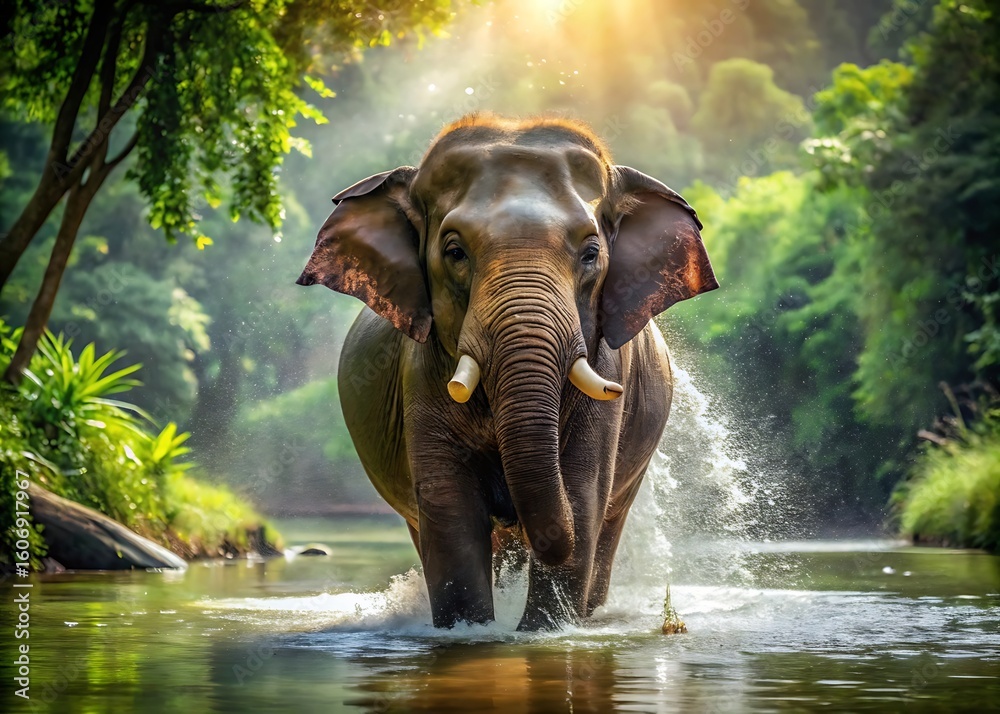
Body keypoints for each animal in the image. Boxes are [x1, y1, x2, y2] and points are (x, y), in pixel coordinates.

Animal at [296, 114, 718, 630]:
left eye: (591, 254)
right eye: (455, 252)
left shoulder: (606, 368)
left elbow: (582, 493)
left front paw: (544, 631)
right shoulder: (421, 372)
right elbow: (451, 510)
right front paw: (472, 631)